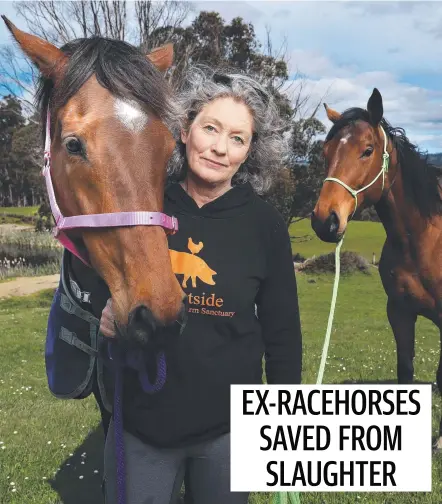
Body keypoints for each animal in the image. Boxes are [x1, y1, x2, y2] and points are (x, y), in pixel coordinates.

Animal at [310, 88, 442, 446]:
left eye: (367, 150)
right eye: (325, 152)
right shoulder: (399, 312)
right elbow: (405, 371)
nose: (325, 221)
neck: (422, 240)